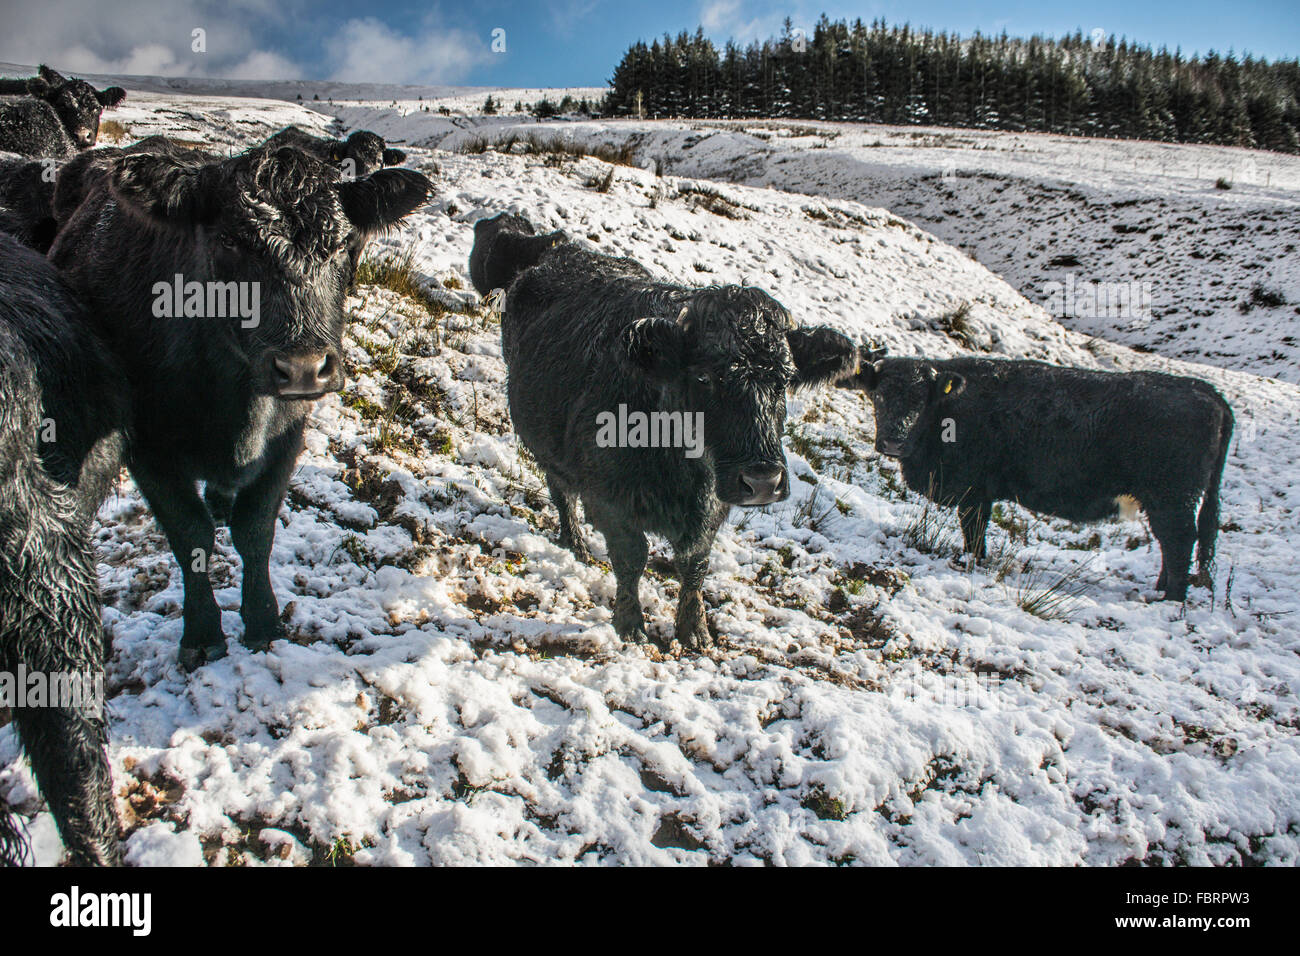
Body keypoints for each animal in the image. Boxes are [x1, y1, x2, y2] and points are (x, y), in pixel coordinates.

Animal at [48, 143, 434, 671]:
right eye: (231, 241)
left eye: (342, 244)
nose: (302, 366)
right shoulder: (146, 447)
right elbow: (190, 535)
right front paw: (202, 632)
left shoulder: (289, 436)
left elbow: (255, 530)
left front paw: (264, 623)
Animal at [501, 244, 857, 650]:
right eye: (703, 377)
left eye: (784, 380)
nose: (763, 482)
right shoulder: (611, 497)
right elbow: (631, 557)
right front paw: (629, 623)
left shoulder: (713, 508)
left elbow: (695, 565)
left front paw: (694, 629)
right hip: (544, 445)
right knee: (561, 490)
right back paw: (575, 542)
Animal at [837, 356, 1232, 600]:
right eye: (879, 394)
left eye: (922, 399)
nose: (894, 440)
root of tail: (1206, 391)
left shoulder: (974, 491)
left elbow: (973, 532)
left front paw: (970, 563)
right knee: (1173, 543)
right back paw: (1161, 588)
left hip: (1171, 496)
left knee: (1179, 541)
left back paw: (1170, 597)